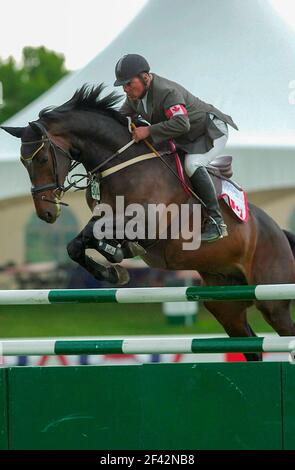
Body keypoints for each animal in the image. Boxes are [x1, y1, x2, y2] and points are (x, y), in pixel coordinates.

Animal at [2, 84, 295, 360]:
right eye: (23, 162)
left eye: (42, 158)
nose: (46, 213)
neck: (122, 164)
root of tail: (279, 232)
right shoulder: (108, 217)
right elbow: (79, 243)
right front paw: (112, 268)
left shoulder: (149, 224)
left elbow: (93, 233)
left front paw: (116, 256)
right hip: (224, 303)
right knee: (251, 345)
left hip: (272, 299)